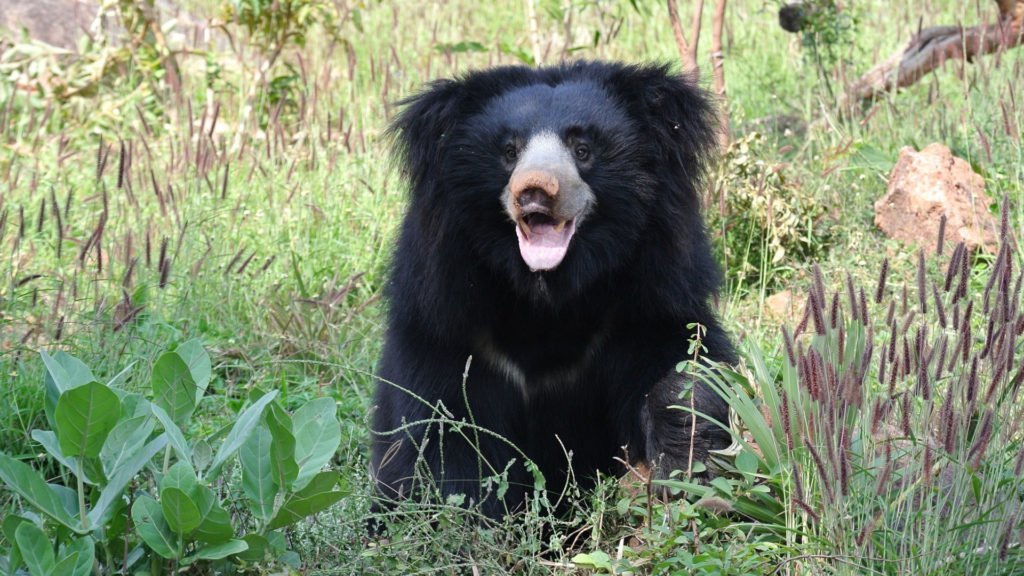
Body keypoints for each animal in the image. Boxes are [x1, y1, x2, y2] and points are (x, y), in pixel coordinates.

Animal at [372, 60, 733, 518]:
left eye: (583, 149)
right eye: (510, 151)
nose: (535, 191)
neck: (547, 294)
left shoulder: (650, 294)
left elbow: (683, 361)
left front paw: (683, 459)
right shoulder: (444, 318)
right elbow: (441, 429)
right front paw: (464, 514)